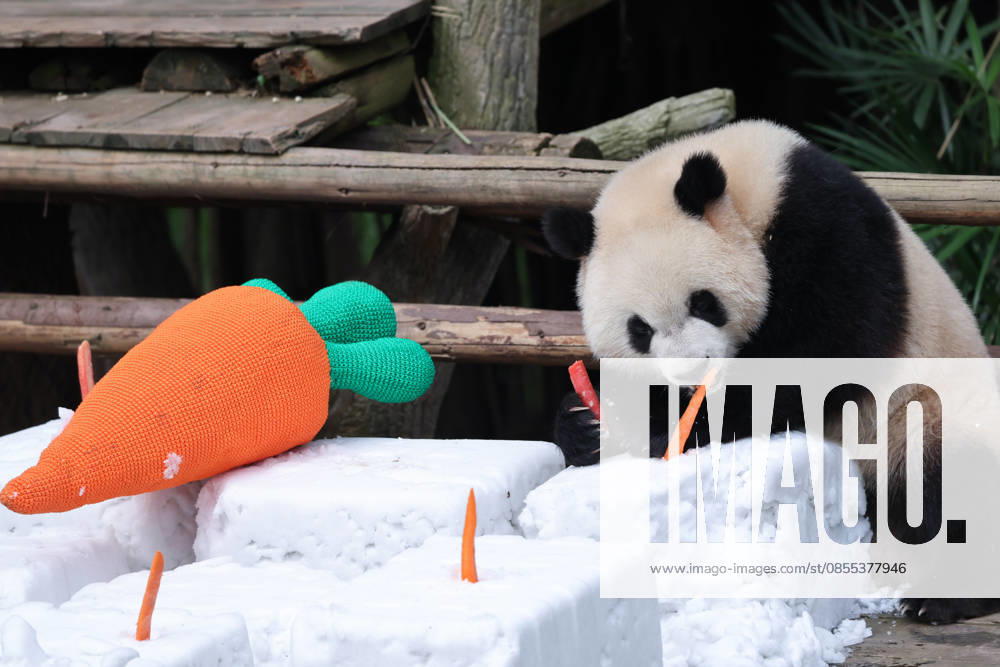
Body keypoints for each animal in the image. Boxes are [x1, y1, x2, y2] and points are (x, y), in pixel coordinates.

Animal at [541, 119, 993, 624]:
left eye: (703, 302)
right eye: (639, 329)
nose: (691, 369)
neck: (751, 194)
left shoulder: (829, 236)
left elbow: (812, 360)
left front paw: (676, 428)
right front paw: (587, 422)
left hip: (929, 413)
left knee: (951, 489)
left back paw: (943, 597)